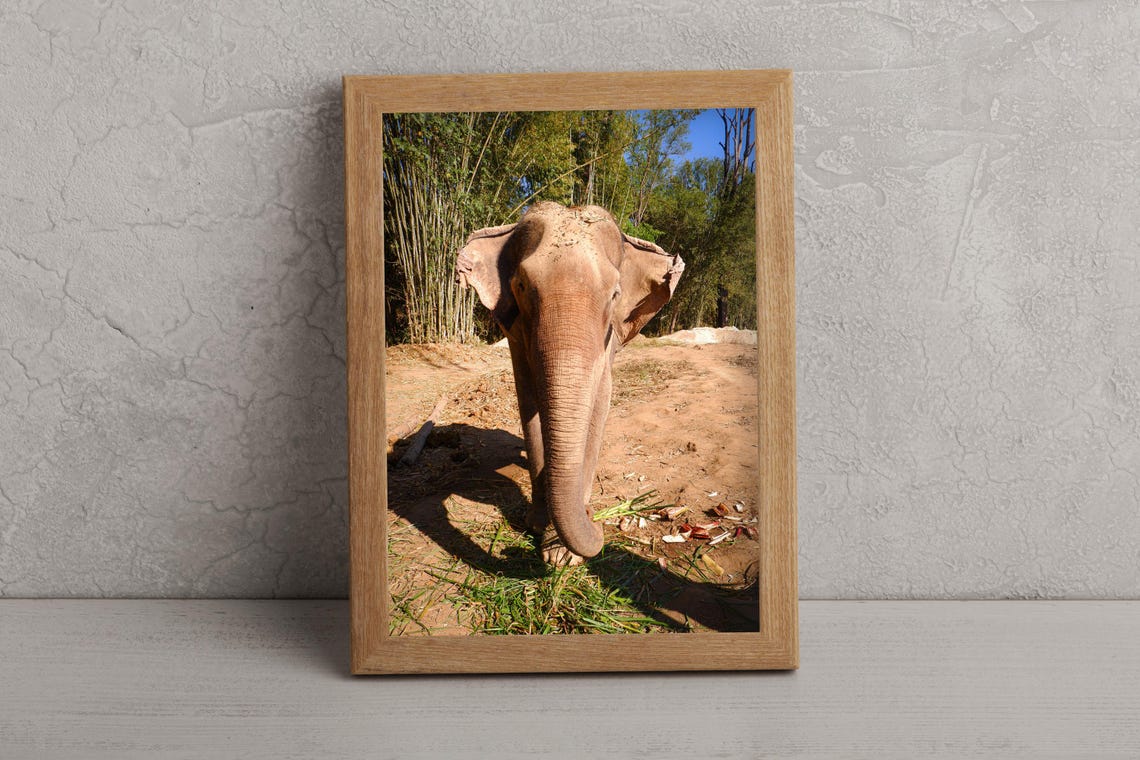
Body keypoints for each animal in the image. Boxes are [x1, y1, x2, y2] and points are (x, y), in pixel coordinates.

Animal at [456, 202, 685, 564]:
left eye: (615, 294)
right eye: (521, 286)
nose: (594, 518)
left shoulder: (609, 338)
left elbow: (600, 402)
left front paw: (561, 554)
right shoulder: (516, 334)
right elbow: (528, 400)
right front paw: (537, 525)